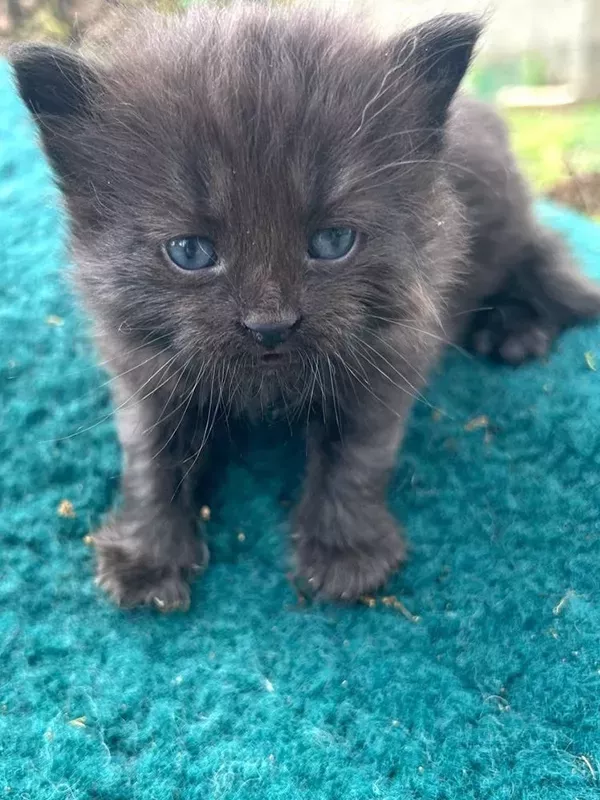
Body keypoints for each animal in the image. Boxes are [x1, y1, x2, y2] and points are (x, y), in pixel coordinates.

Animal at [10, 4, 600, 608]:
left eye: (333, 241)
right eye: (190, 252)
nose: (269, 325)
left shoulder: (393, 346)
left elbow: (357, 454)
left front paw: (345, 553)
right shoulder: (142, 364)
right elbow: (150, 456)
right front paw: (146, 556)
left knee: (552, 264)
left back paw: (514, 330)